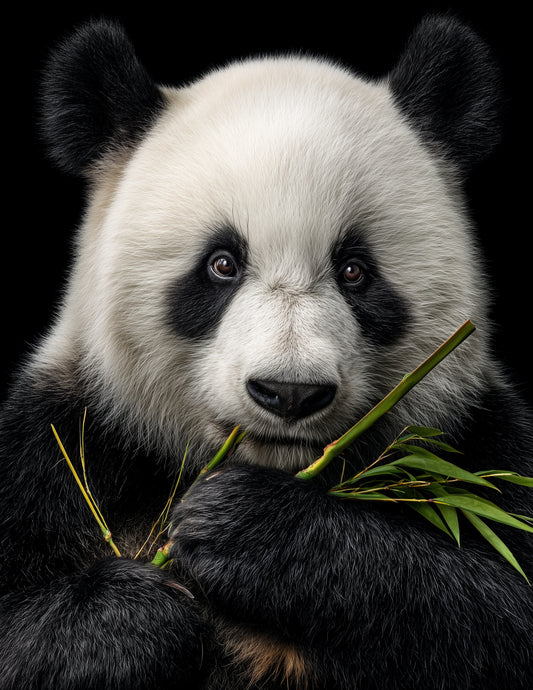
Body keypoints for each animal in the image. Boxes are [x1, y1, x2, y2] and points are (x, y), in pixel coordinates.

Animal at [1, 13, 532, 690]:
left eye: (355, 271)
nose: (290, 392)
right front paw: (133, 615)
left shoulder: (478, 441)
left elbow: (494, 607)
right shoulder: (57, 445)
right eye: (222, 264)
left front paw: (247, 531)